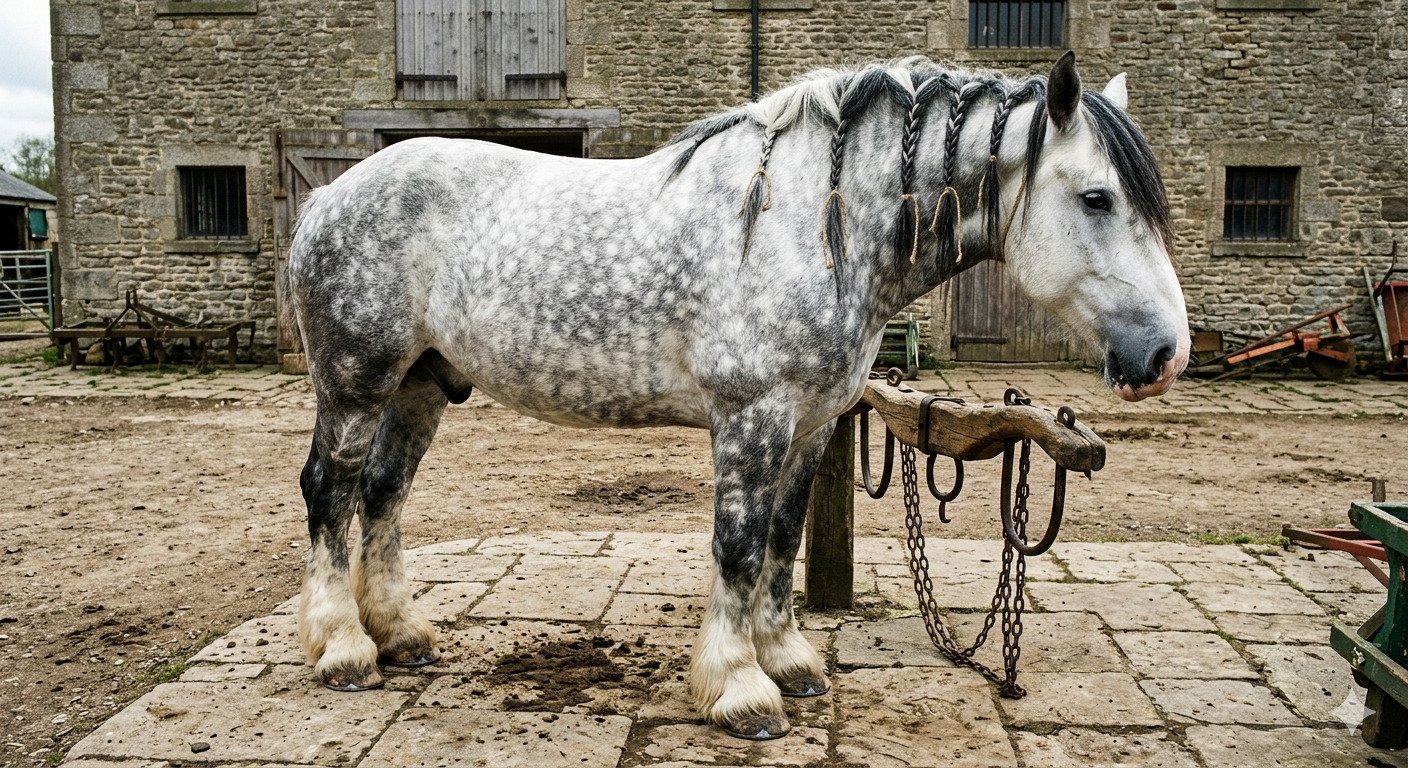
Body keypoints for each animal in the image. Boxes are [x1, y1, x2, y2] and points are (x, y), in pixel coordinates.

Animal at [285, 50, 1189, 740]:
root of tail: (328, 194)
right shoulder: (752, 418)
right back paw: (343, 651)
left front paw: (788, 661)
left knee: (384, 494)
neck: (816, 225)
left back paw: (402, 636)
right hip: (356, 380)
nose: (1165, 354)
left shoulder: (815, 423)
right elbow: (739, 546)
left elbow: (783, 541)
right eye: (1097, 197)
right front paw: (739, 690)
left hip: (420, 384)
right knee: (330, 492)